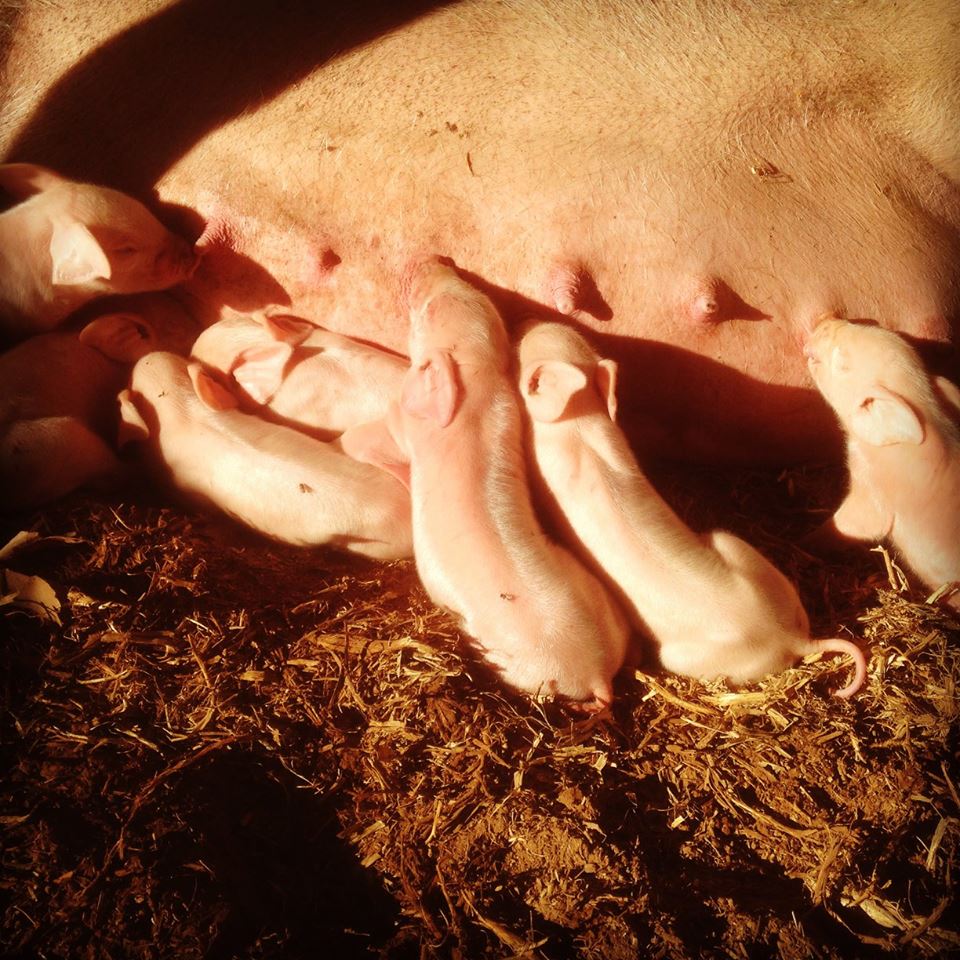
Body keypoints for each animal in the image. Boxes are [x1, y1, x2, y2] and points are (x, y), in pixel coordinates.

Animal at [517, 321, 868, 697]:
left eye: (524, 353)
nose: (530, 322)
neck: (580, 425)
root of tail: (792, 637)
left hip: (681, 656)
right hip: (733, 545)